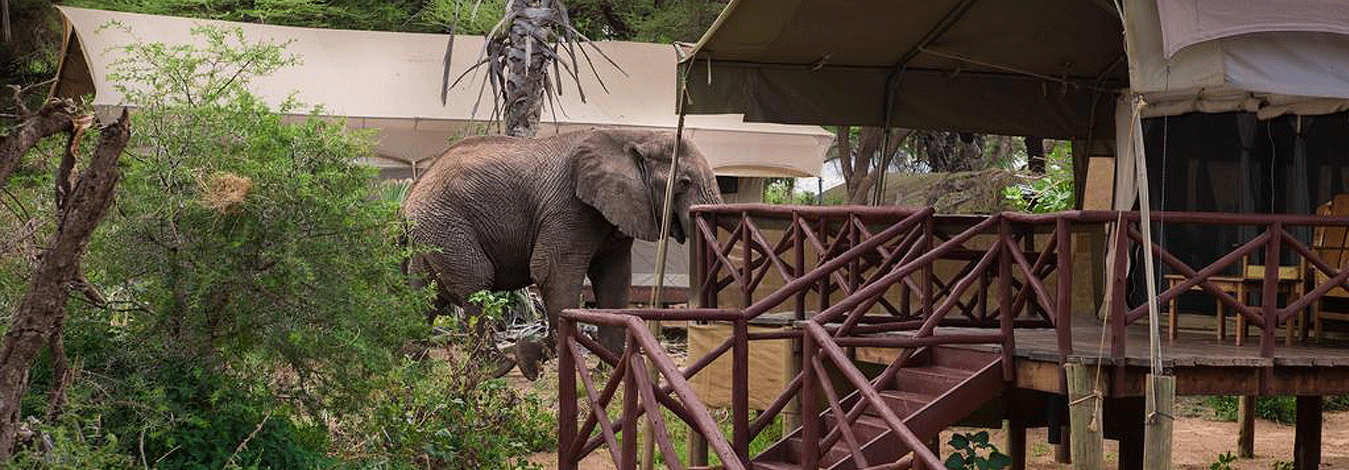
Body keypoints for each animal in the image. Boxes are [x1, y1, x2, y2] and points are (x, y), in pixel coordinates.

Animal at [399, 127, 723, 378]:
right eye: (684, 183)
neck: (634, 136)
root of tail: (409, 195)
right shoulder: (569, 208)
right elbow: (551, 271)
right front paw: (531, 358)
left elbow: (615, 279)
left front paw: (610, 370)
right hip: (447, 225)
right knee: (474, 284)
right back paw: (499, 368)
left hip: (430, 233)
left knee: (425, 297)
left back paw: (415, 369)